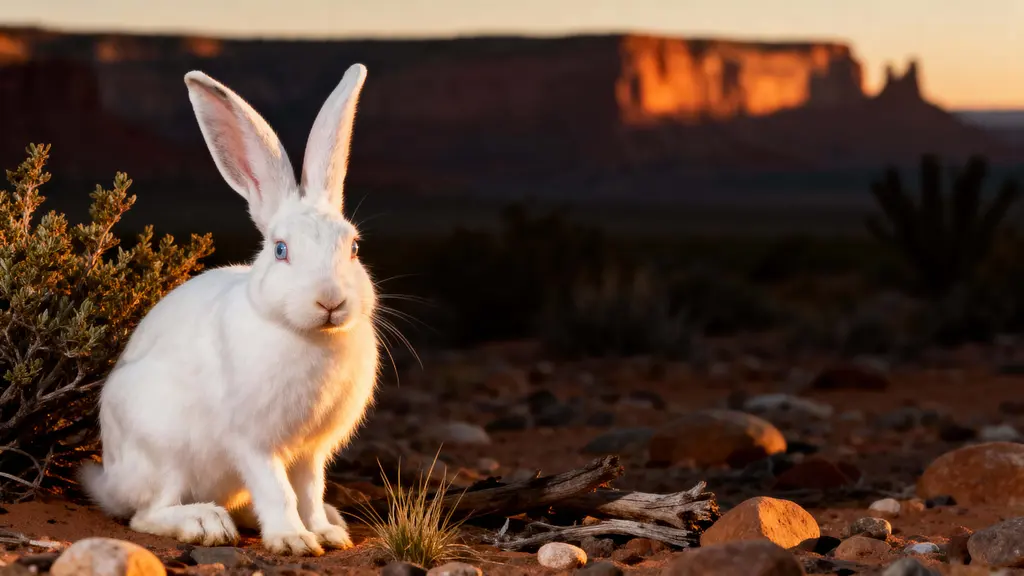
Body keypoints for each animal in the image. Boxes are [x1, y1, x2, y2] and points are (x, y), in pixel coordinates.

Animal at [78, 63, 380, 557]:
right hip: (162, 448)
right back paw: (204, 523)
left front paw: (324, 533)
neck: (306, 335)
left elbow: (309, 489)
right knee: (147, 513)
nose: (330, 301)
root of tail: (110, 481)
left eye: (353, 247)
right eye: (280, 250)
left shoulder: (311, 452)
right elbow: (277, 490)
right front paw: (293, 540)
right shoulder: (254, 443)